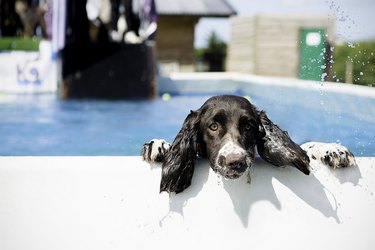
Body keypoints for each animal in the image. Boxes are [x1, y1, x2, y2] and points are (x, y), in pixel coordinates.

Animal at [140, 94, 356, 194]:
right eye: (213, 126)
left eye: (249, 126)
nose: (235, 162)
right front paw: (159, 145)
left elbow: (306, 147)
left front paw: (331, 149)